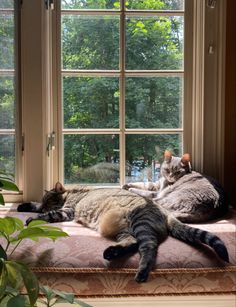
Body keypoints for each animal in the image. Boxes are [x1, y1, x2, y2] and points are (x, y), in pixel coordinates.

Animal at [17, 183, 230, 284]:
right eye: (44, 200)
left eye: (50, 200)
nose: (44, 204)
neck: (72, 192)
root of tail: (165, 211)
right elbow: (34, 206)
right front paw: (26, 206)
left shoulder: (67, 211)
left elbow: (49, 215)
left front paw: (33, 218)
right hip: (125, 231)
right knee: (132, 243)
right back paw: (111, 252)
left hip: (141, 225)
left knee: (148, 247)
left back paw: (141, 272)